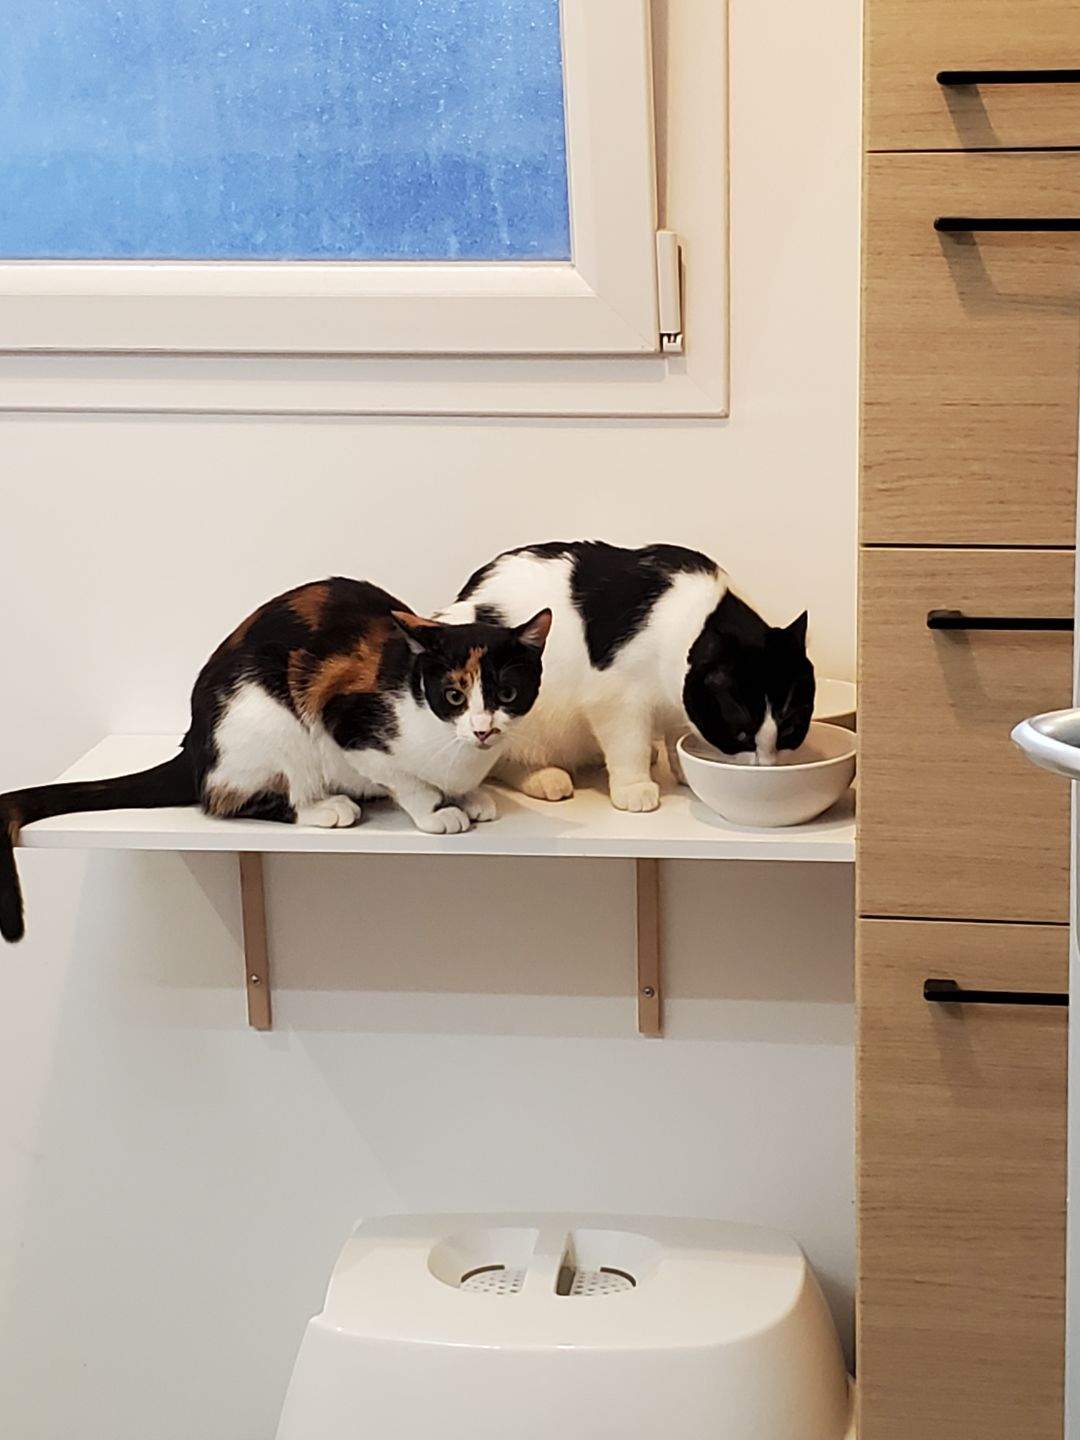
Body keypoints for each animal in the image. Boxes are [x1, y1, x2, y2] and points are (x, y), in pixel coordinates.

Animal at [0, 577, 551, 943]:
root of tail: (192, 743)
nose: (483, 729)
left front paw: (471, 795)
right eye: (454, 695)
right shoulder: (346, 721)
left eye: (506, 692)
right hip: (266, 720)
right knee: (226, 798)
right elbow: (404, 779)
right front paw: (437, 811)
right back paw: (326, 807)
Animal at [439, 541, 814, 812]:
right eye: (741, 734)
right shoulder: (616, 698)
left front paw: (682, 769)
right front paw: (635, 787)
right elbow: (627, 742)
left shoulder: (677, 698)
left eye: (790, 728)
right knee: (496, 761)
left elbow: (676, 734)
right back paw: (545, 777)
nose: (765, 766)